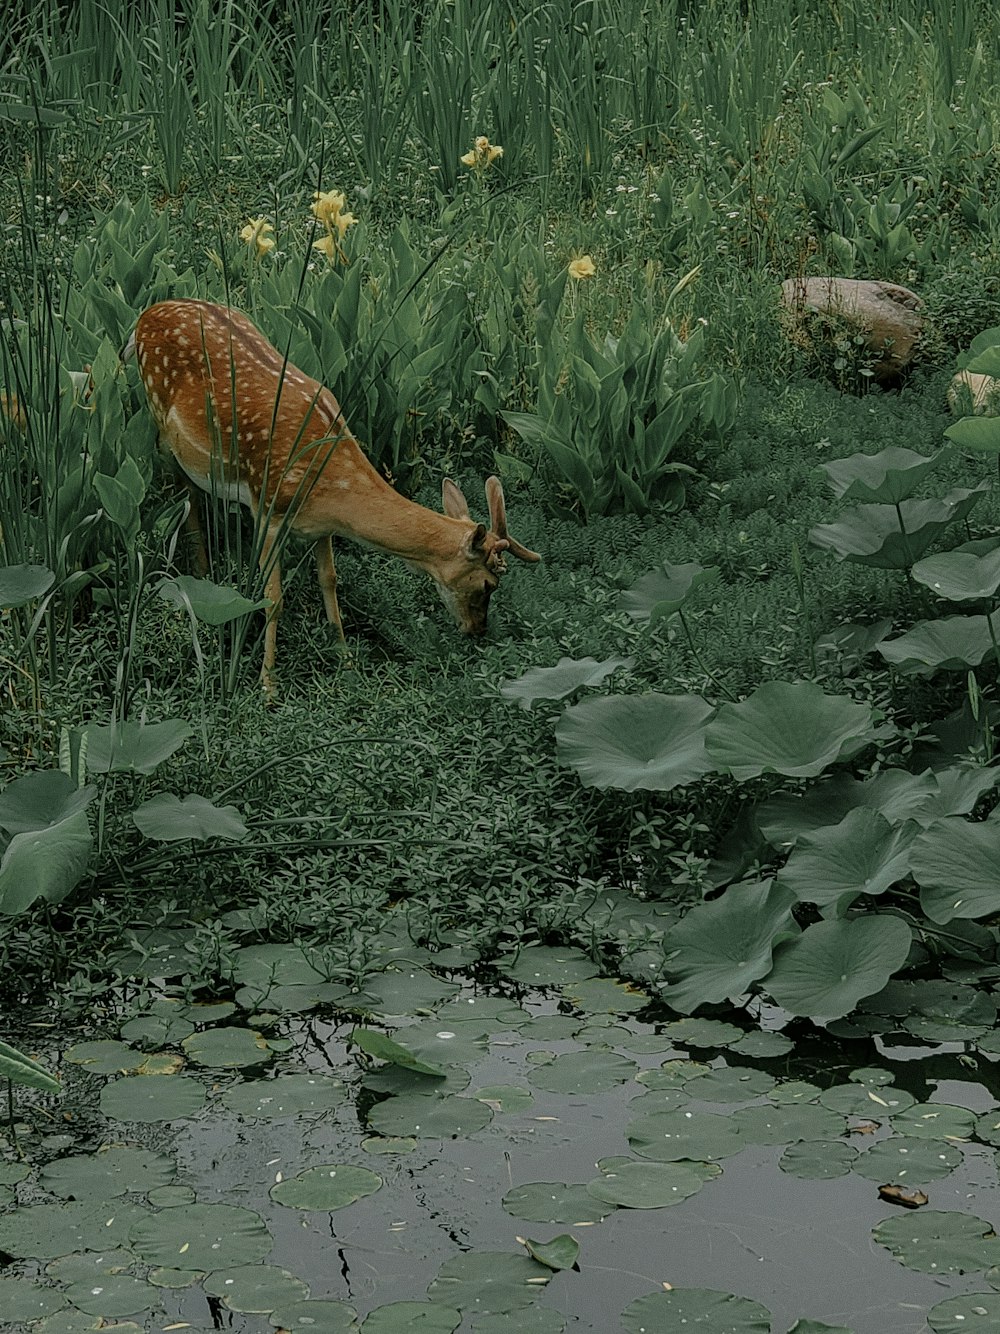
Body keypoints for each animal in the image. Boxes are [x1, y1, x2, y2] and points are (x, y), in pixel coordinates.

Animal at [130, 298, 544, 688]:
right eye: (488, 584)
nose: (478, 630)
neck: (332, 488)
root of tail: (146, 315)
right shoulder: (267, 509)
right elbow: (272, 598)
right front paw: (268, 685)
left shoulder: (321, 527)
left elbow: (330, 582)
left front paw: (346, 662)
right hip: (163, 428)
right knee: (186, 492)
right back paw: (199, 571)